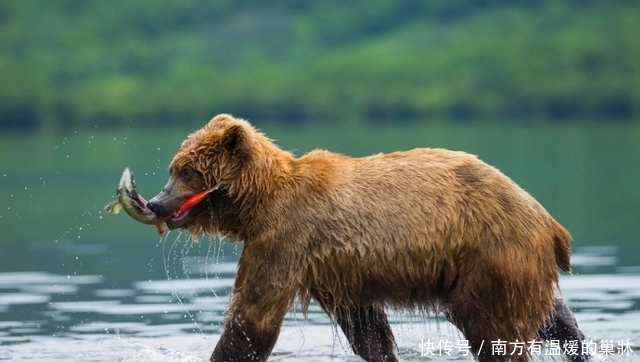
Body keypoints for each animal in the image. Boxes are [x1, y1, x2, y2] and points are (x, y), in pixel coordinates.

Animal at [148, 114, 588, 362]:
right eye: (174, 167)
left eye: (186, 171)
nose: (155, 202)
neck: (258, 201)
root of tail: (549, 222)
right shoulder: (335, 270)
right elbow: (367, 329)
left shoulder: (284, 239)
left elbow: (253, 319)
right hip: (510, 265)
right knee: (552, 317)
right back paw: (579, 347)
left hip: (490, 253)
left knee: (495, 330)